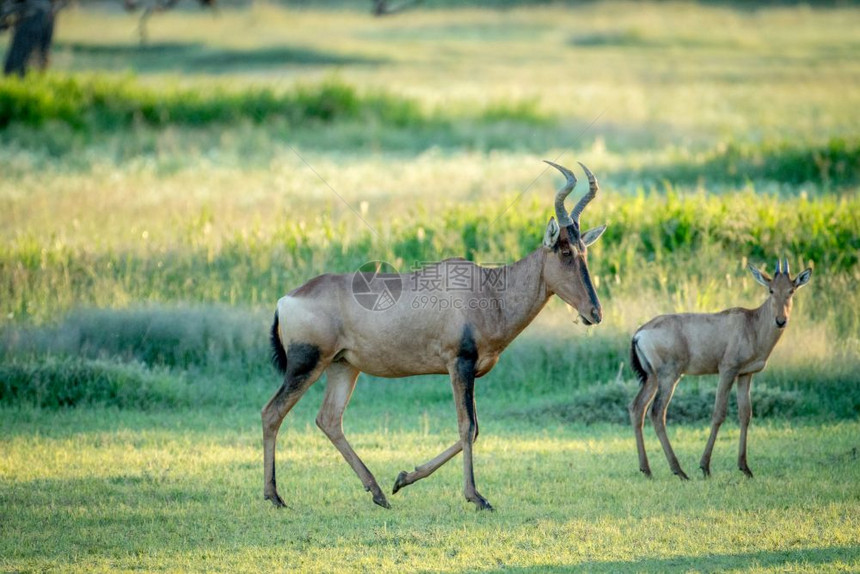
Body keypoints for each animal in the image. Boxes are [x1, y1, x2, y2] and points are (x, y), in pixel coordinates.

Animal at [262, 162, 604, 512]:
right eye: (564, 250)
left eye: (584, 250)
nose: (594, 313)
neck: (488, 290)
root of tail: (286, 299)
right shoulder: (459, 364)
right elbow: (467, 427)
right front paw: (476, 497)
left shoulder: (470, 371)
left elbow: (473, 429)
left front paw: (402, 478)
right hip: (306, 365)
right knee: (272, 413)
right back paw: (274, 496)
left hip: (343, 367)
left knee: (329, 419)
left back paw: (378, 492)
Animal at [628, 260, 808, 482]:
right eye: (771, 290)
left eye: (791, 290)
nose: (781, 321)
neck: (751, 323)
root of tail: (639, 332)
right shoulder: (727, 371)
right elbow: (718, 413)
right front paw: (705, 467)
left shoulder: (745, 374)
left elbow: (745, 414)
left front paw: (745, 468)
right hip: (669, 377)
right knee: (657, 412)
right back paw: (680, 471)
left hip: (652, 378)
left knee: (638, 408)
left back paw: (647, 470)